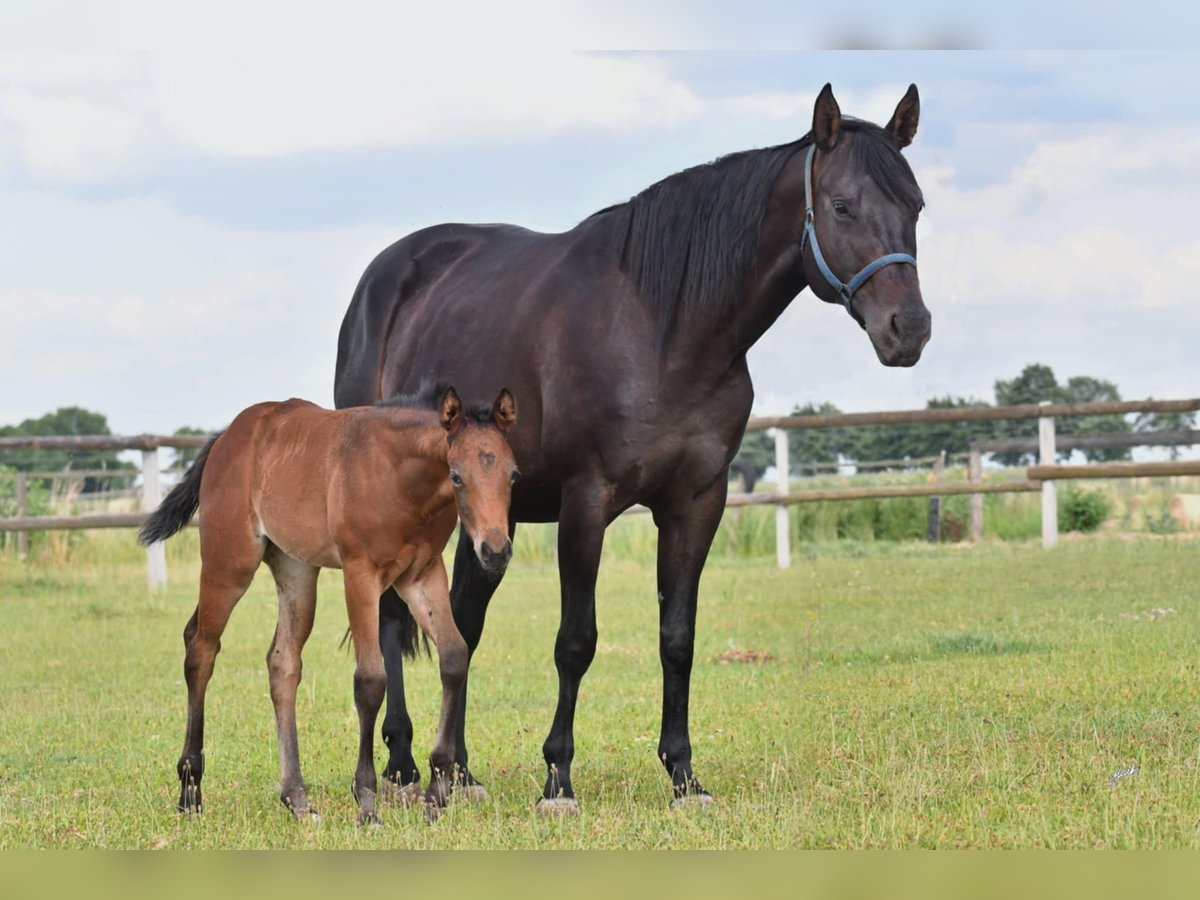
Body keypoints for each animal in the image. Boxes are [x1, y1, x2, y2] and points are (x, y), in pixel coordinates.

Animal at [138, 384, 518, 823]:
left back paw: (297, 799)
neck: (401, 480)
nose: (495, 551)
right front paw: (367, 802)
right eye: (456, 475)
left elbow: (455, 656)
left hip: (296, 570)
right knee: (201, 649)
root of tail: (226, 438)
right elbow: (370, 680)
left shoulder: (422, 574)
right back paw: (190, 791)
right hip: (228, 563)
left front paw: (437, 792)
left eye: (513, 474)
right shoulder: (361, 574)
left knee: (282, 662)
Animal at [333, 83, 931, 812]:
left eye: (916, 206)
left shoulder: (695, 502)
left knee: (461, 626)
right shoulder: (586, 501)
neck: (662, 330)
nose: (909, 329)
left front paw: (684, 777)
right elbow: (575, 641)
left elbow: (677, 638)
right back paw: (400, 765)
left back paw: (461, 775)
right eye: (843, 205)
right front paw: (557, 779)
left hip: (487, 522)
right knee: (392, 620)